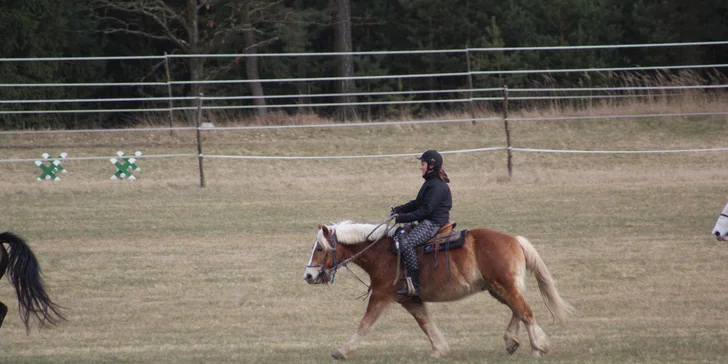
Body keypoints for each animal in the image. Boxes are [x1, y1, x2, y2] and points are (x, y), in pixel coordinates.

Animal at [302, 220, 576, 360]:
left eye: (320, 248)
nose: (308, 275)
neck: (382, 252)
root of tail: (514, 240)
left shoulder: (381, 295)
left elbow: (365, 324)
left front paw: (342, 350)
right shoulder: (410, 300)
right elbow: (425, 323)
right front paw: (439, 350)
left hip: (504, 285)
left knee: (525, 311)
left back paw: (537, 347)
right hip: (498, 288)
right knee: (517, 311)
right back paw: (512, 341)